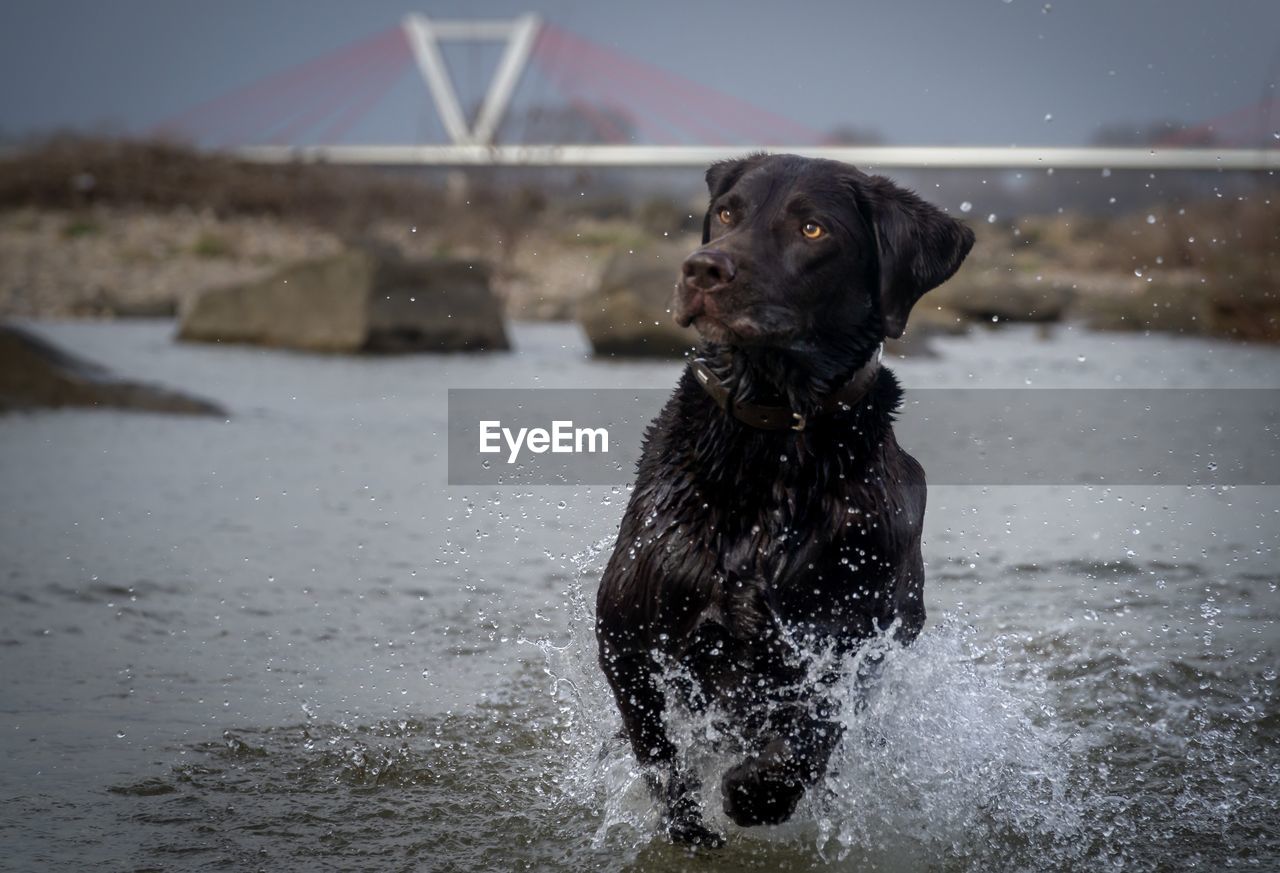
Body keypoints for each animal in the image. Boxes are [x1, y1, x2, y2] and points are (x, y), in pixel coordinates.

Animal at [593, 152, 972, 839]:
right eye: (726, 213)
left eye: (812, 230)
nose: (703, 268)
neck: (771, 443)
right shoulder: (625, 632)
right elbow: (658, 751)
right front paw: (689, 828)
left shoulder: (856, 640)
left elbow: (813, 728)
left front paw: (760, 790)